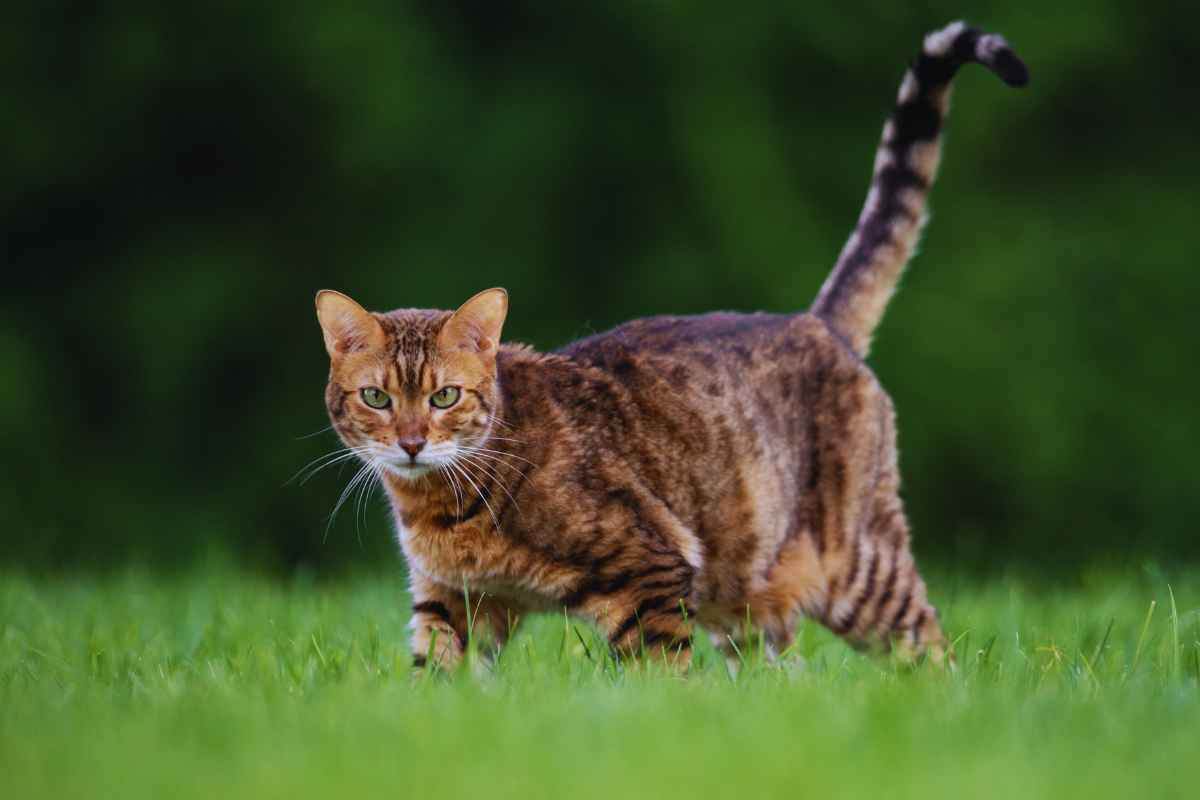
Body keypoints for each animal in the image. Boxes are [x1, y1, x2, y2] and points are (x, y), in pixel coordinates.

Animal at [316, 20, 1022, 671]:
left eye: (445, 397)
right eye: (377, 397)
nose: (411, 443)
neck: (442, 507)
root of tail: (815, 320)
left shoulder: (651, 570)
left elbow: (660, 680)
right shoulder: (450, 601)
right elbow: (437, 680)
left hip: (858, 566)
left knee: (931, 650)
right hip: (749, 598)